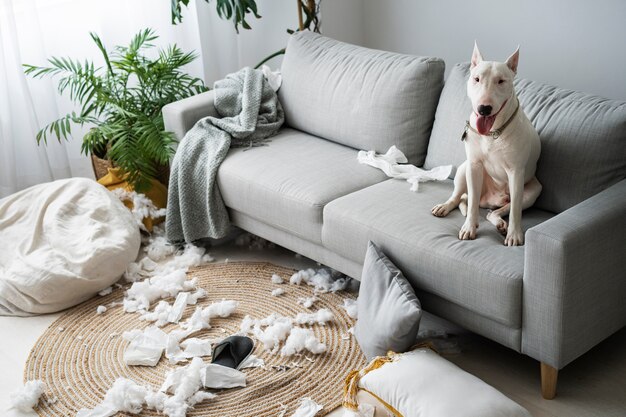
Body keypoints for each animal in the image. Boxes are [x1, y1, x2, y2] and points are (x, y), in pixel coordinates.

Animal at [428, 43, 540, 244]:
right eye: (476, 79)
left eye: (501, 81)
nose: (484, 108)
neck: (492, 132)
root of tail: (489, 200)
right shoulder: (474, 166)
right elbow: (471, 202)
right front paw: (469, 227)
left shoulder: (516, 173)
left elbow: (515, 211)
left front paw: (514, 235)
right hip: (464, 170)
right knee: (459, 197)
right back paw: (444, 207)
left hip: (533, 191)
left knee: (497, 211)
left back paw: (501, 224)